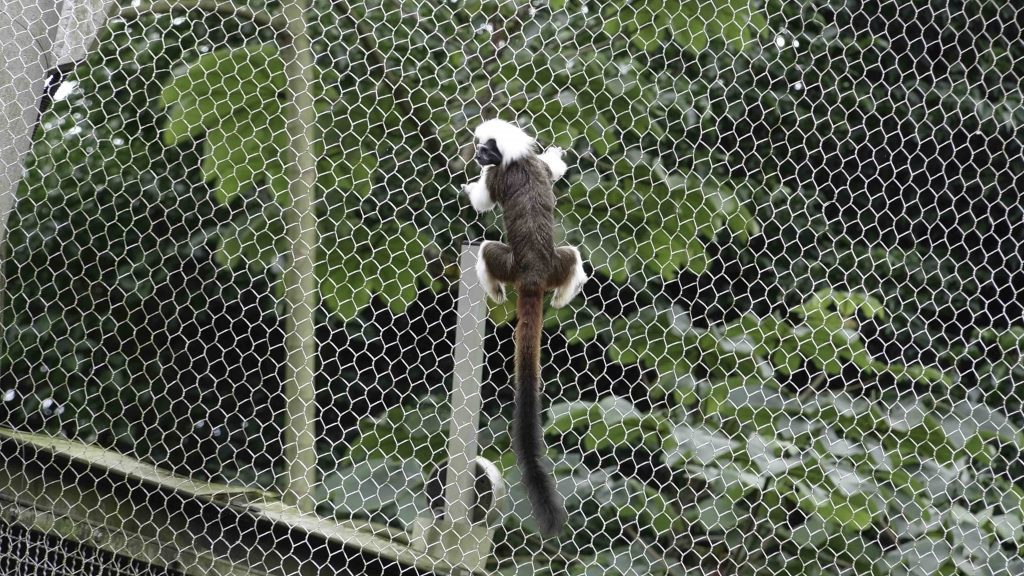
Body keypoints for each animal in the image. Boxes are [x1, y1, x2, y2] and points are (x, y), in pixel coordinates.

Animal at [462, 118, 589, 537]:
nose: (478, 156)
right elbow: (551, 170)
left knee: (487, 249)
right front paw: (557, 158)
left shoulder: (498, 175)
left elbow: (483, 200)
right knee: (572, 256)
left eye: (485, 150)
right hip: (555, 264)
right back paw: (564, 295)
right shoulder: (535, 167)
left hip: (510, 264)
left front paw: (469, 188)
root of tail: (533, 274)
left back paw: (494, 288)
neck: (514, 158)